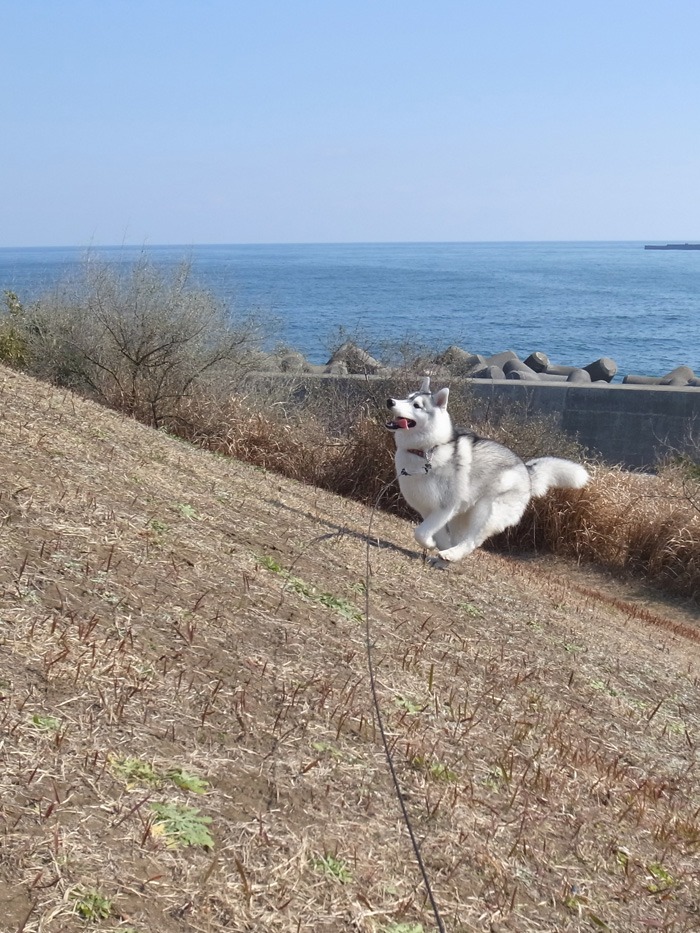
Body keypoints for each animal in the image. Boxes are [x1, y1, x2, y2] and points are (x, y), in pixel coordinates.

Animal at [386, 376, 588, 560]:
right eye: (407, 397)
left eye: (417, 405)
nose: (390, 401)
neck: (425, 451)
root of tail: (525, 467)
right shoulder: (429, 510)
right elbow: (435, 533)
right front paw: (434, 544)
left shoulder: (446, 507)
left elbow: (420, 532)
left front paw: (430, 544)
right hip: (463, 515)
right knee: (461, 538)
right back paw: (445, 558)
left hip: (486, 510)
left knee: (472, 541)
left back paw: (451, 555)